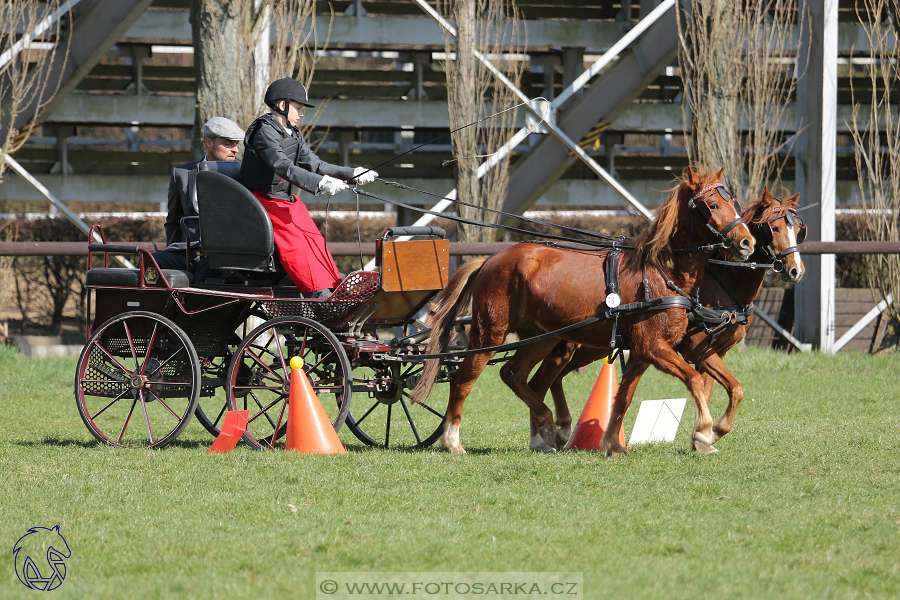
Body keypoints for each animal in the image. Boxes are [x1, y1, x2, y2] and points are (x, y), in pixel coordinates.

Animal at [414, 168, 752, 454]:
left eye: (734, 202)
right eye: (712, 204)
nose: (747, 242)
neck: (660, 272)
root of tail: (490, 260)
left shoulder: (646, 350)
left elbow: (625, 396)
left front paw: (613, 444)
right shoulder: (653, 345)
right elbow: (694, 380)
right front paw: (704, 432)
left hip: (542, 337)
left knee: (515, 375)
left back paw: (544, 431)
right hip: (489, 333)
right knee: (463, 380)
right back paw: (453, 441)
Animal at [532, 186, 804, 450]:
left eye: (799, 230)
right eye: (774, 228)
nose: (796, 270)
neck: (723, 282)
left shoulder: (714, 351)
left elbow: (726, 389)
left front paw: (703, 437)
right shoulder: (695, 348)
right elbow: (724, 388)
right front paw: (706, 433)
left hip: (587, 347)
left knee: (552, 378)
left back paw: (555, 431)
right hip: (575, 345)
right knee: (546, 378)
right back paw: (551, 431)